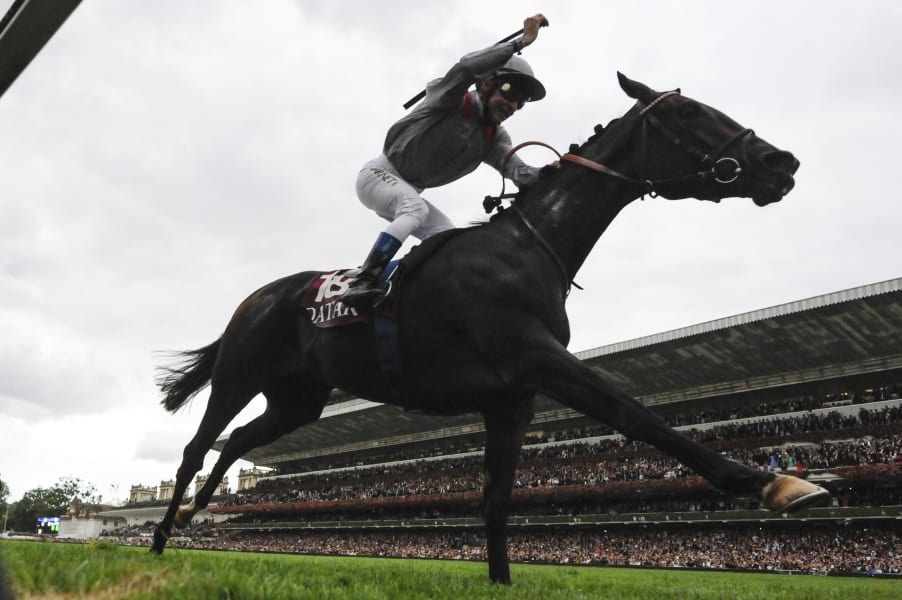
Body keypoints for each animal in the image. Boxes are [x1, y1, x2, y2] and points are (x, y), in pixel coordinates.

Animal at [150, 72, 832, 584]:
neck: (527, 250)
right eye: (692, 113)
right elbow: (637, 414)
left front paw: (501, 580)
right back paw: (159, 537)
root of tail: (258, 296)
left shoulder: (513, 398)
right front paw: (773, 482)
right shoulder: (536, 358)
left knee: (240, 440)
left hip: (299, 400)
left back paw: (195, 513)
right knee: (196, 448)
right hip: (239, 374)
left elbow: (497, 499)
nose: (782, 161)